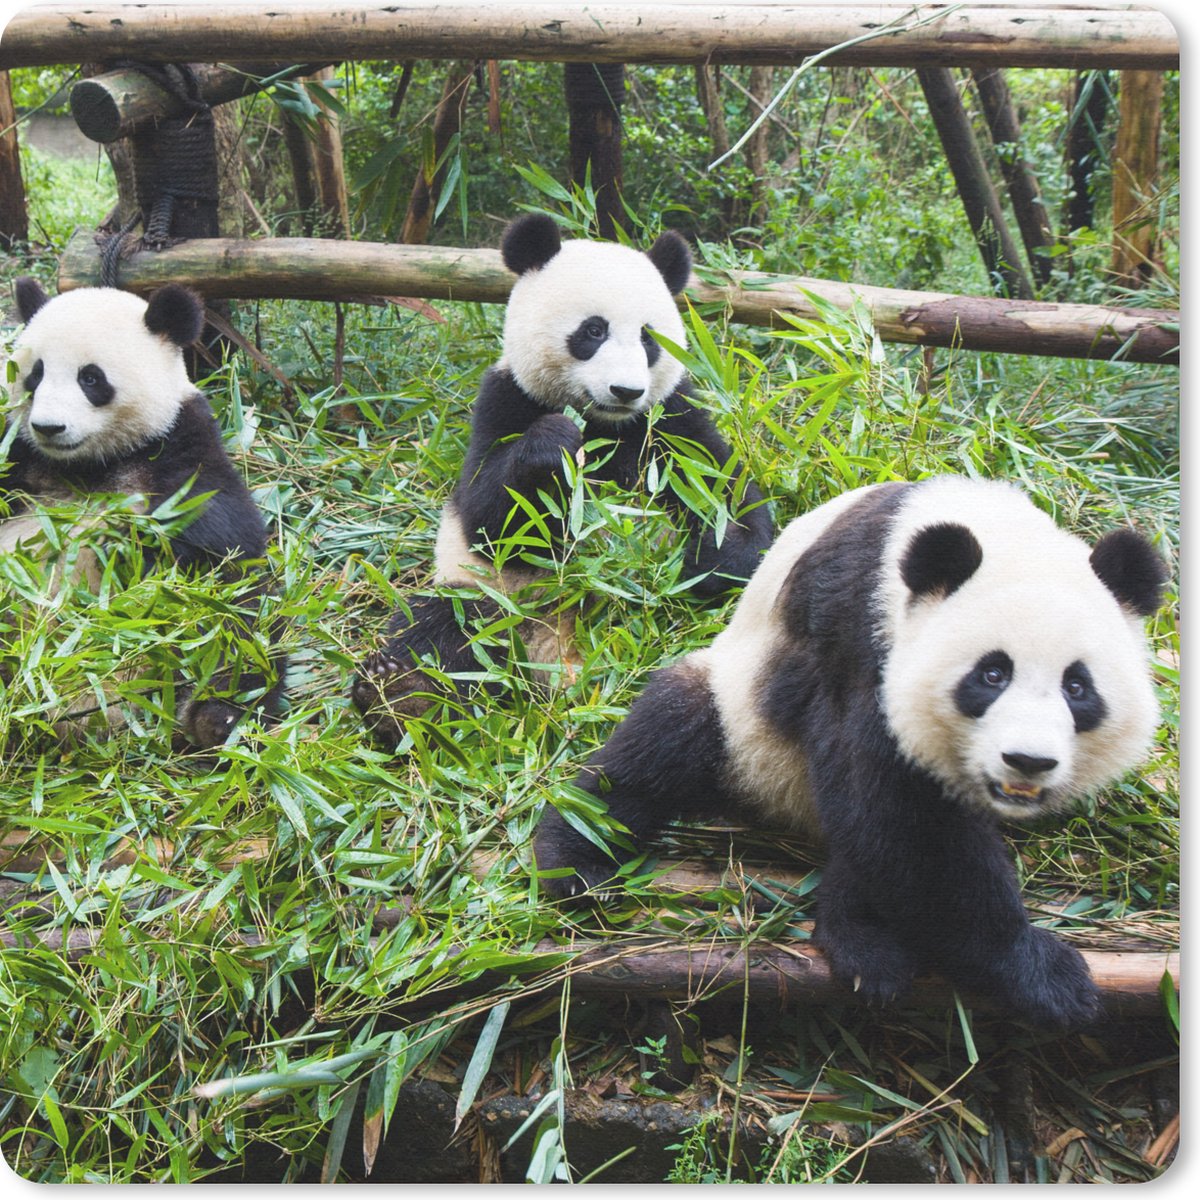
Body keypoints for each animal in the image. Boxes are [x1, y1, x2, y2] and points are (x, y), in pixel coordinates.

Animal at [3, 278, 285, 747]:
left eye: (91, 378)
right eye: (35, 374)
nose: (48, 427)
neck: (88, 465)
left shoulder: (180, 450)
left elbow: (222, 547)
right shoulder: (19, 462)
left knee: (240, 643)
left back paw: (215, 721)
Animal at [352, 213, 773, 747]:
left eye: (648, 338)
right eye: (593, 330)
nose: (626, 390)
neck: (605, 424)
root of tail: (557, 663)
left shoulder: (671, 419)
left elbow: (726, 497)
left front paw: (708, 554)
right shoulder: (504, 398)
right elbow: (487, 517)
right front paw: (554, 445)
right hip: (492, 602)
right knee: (443, 626)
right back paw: (403, 698)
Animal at [533, 476, 1168, 1029]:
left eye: (1077, 687)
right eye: (992, 674)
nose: (1027, 761)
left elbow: (888, 828)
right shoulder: (861, 634)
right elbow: (902, 814)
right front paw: (1042, 971)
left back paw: (857, 934)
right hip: (740, 721)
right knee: (660, 746)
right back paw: (577, 861)